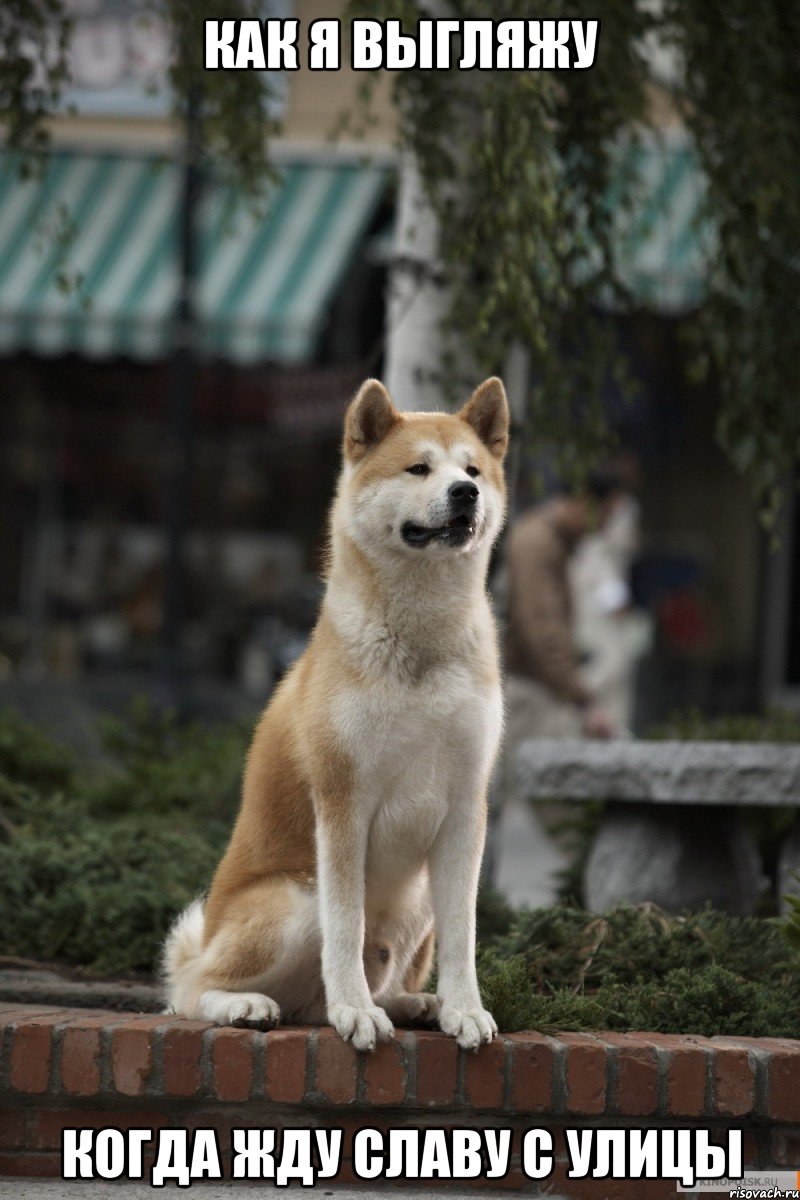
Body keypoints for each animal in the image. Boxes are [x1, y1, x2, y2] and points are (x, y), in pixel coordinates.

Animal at [165, 374, 510, 1051]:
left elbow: (464, 935)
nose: (465, 493)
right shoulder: (343, 801)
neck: (420, 643)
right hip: (295, 900)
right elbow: (346, 928)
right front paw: (355, 1011)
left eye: (473, 470)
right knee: (189, 990)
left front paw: (464, 1009)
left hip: (417, 900)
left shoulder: (466, 806)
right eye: (418, 468)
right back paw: (250, 1005)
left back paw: (415, 1003)